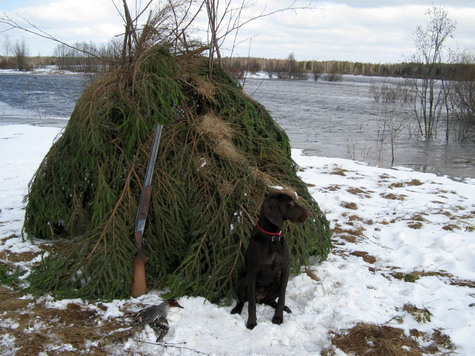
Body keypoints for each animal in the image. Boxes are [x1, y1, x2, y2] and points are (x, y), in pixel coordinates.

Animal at [231, 193, 312, 330]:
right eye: (290, 203)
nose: (308, 212)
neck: (272, 238)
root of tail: (261, 298)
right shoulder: (252, 272)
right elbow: (251, 304)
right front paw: (251, 322)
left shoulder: (285, 269)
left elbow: (282, 297)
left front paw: (278, 317)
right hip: (242, 280)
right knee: (243, 301)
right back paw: (237, 309)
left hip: (277, 281)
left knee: (271, 301)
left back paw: (285, 308)